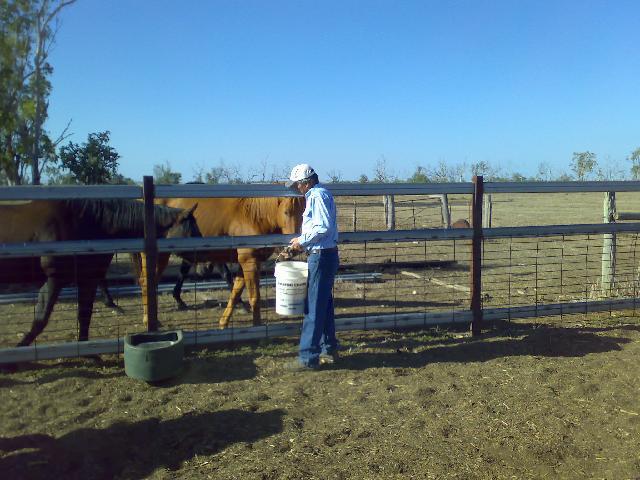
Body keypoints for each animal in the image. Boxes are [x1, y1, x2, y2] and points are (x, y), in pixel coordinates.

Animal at [0, 199, 200, 346]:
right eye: (192, 231)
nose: (204, 255)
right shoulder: (53, 280)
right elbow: (41, 319)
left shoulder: (87, 279)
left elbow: (84, 316)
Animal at [153, 196, 305, 328]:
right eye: (286, 212)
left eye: (303, 213)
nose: (294, 248)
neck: (254, 218)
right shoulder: (249, 262)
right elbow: (254, 297)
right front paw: (256, 326)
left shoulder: (247, 264)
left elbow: (235, 293)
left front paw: (223, 323)